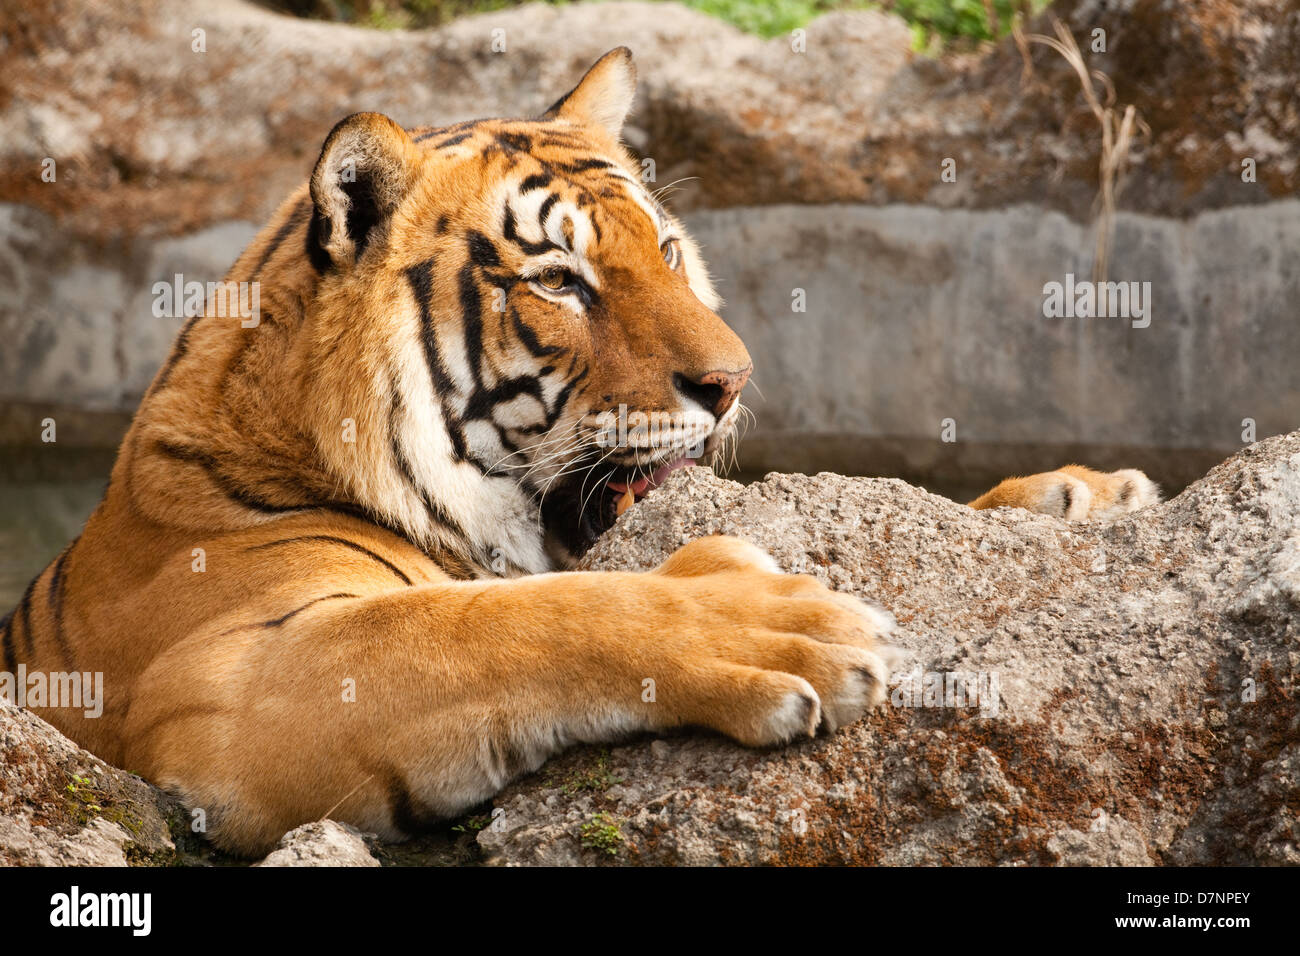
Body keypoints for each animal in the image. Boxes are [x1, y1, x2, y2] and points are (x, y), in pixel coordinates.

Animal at [0, 48, 1159, 858]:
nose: (733, 379)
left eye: (669, 250)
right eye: (559, 281)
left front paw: (1085, 493)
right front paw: (777, 620)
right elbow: (516, 621)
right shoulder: (236, 677)